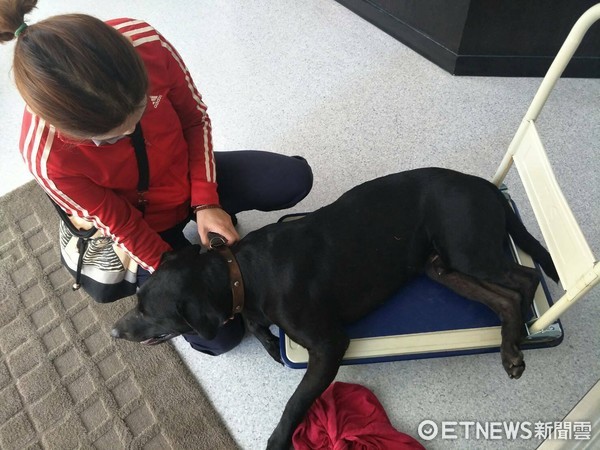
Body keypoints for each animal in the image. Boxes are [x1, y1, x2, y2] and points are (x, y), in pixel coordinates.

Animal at [111, 169, 556, 450]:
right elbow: (255, 324)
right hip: (444, 267)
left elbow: (294, 402)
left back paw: (521, 338)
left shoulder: (328, 345)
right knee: (504, 297)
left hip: (469, 251)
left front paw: (277, 441)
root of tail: (483, 184)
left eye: (149, 312)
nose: (114, 332)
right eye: (137, 301)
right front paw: (268, 342)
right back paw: (510, 346)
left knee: (524, 280)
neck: (241, 273)